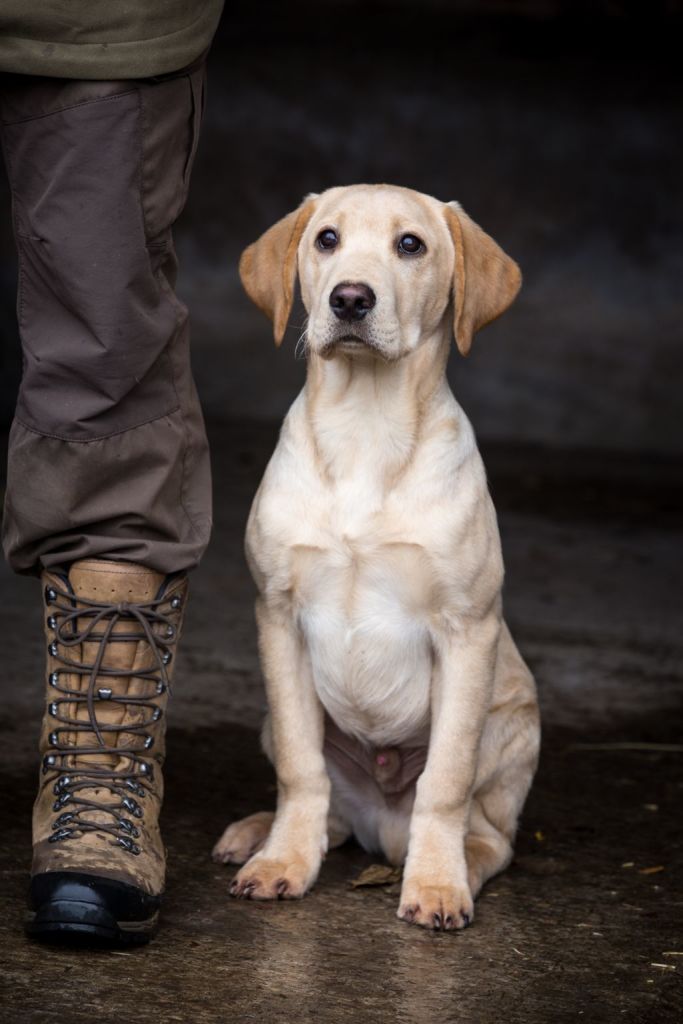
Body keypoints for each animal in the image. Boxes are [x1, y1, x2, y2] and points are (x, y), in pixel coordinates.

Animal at [210, 182, 540, 929]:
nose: (351, 300)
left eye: (410, 245)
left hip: (512, 722)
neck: (365, 427)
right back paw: (259, 835)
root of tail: (381, 827)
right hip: (282, 716)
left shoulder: (467, 631)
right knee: (328, 808)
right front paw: (282, 861)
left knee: (487, 834)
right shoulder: (278, 617)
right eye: (326, 239)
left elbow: (445, 781)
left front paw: (437, 885)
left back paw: (454, 865)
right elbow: (300, 769)